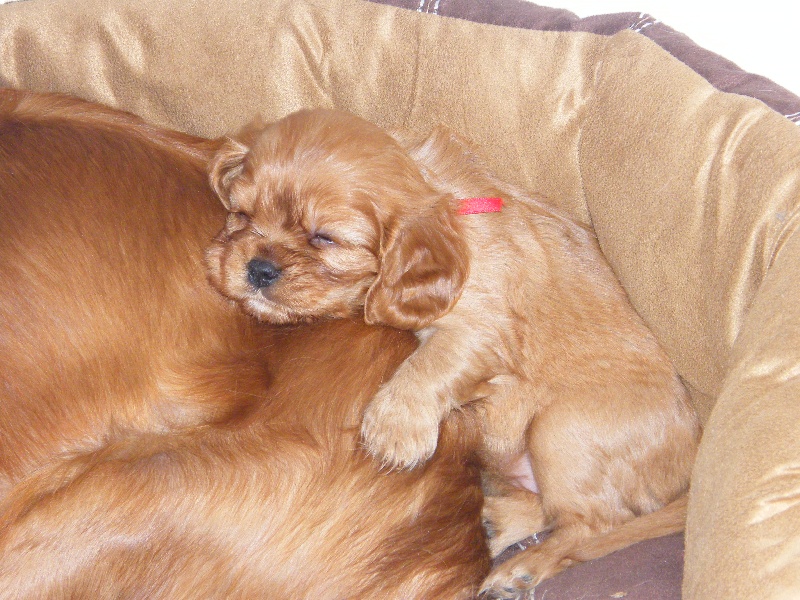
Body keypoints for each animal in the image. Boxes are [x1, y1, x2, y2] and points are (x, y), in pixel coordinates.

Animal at [206, 108, 700, 596]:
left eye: (325, 238)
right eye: (241, 214)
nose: (258, 269)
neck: (451, 214)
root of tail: (690, 466)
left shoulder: (481, 326)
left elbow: (430, 365)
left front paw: (394, 428)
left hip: (561, 429)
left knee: (596, 524)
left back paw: (522, 568)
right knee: (550, 506)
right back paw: (495, 521)